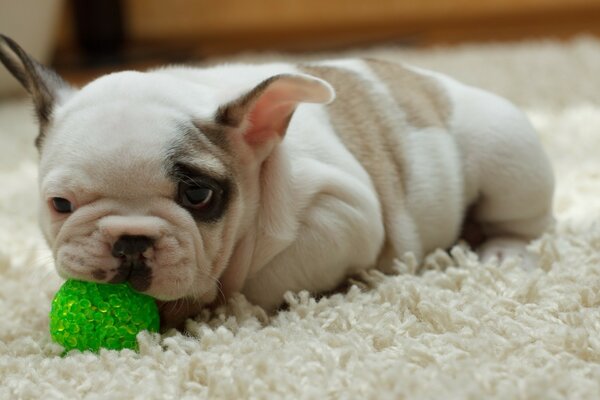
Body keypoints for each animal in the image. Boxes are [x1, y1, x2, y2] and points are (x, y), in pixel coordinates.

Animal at [0, 34, 552, 328]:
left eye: (198, 195)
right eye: (60, 204)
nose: (130, 240)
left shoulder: (343, 215)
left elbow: (270, 274)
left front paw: (215, 303)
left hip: (506, 156)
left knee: (526, 221)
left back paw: (500, 250)